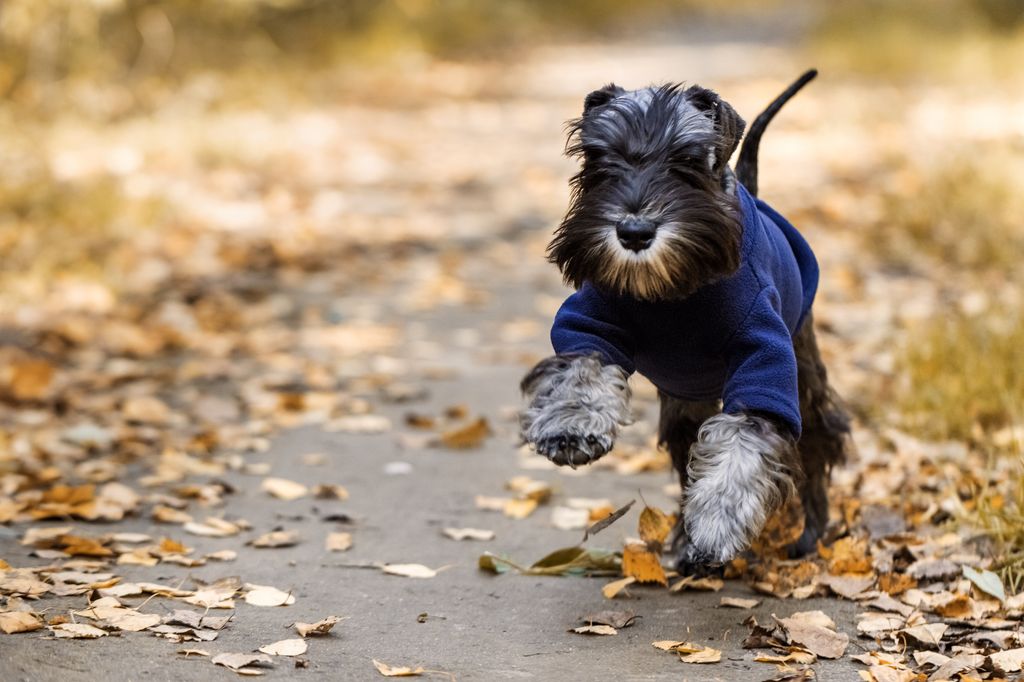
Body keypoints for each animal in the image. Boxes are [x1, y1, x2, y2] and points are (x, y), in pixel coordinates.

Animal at [520, 70, 847, 569]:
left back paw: (810, 532)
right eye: (599, 157)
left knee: (817, 443)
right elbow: (581, 365)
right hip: (684, 402)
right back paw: (682, 542)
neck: (673, 293)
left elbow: (743, 441)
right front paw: (570, 426)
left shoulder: (765, 363)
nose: (634, 232)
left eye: (687, 160)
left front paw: (717, 522)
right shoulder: (593, 320)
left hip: (803, 373)